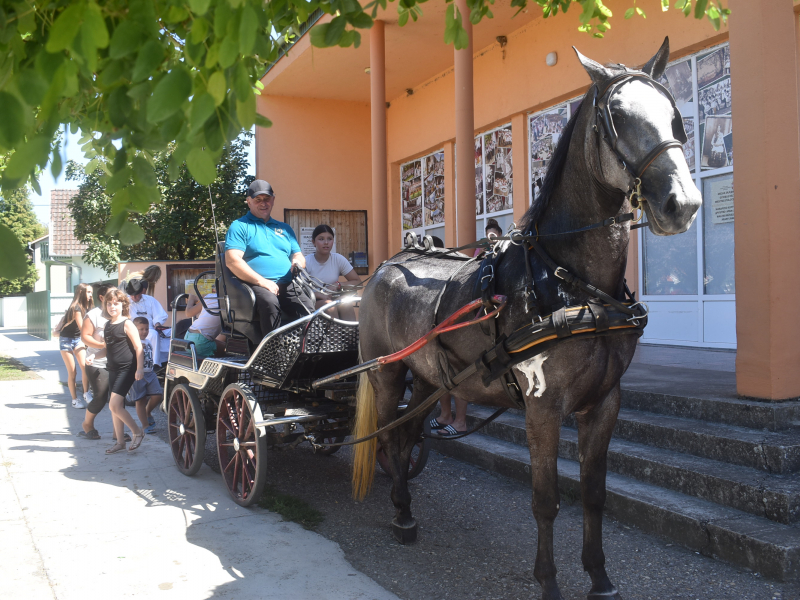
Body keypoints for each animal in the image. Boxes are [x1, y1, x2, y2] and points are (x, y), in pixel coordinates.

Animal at [354, 38, 700, 600]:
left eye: (674, 118)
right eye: (618, 118)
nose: (682, 203)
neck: (569, 279)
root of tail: (385, 265)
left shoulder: (604, 402)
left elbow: (594, 494)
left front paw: (599, 576)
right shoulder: (543, 405)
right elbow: (546, 500)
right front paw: (549, 580)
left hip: (429, 380)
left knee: (406, 439)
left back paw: (406, 507)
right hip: (387, 373)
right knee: (388, 437)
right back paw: (401, 515)